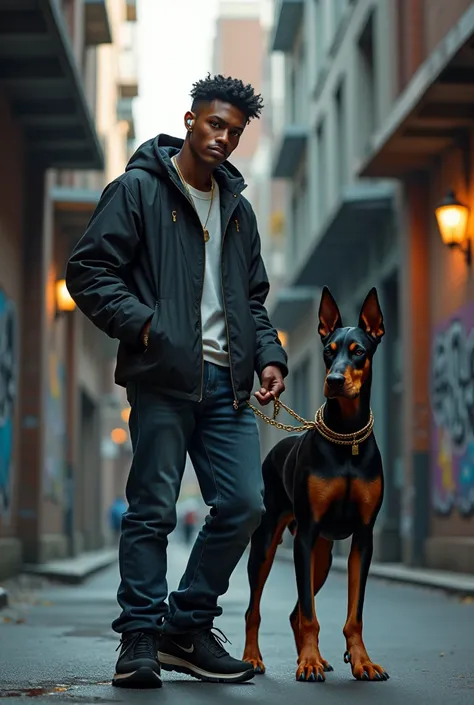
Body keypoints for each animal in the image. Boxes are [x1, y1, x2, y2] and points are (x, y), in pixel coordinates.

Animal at [244, 286, 388, 680]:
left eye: (359, 351)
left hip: (322, 556)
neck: (347, 437)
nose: (335, 381)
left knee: (295, 610)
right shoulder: (306, 535)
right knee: (254, 609)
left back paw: (317, 658)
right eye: (328, 350)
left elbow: (354, 615)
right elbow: (310, 614)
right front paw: (307, 663)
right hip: (268, 543)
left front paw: (362, 660)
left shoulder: (364, 538)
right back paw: (253, 658)